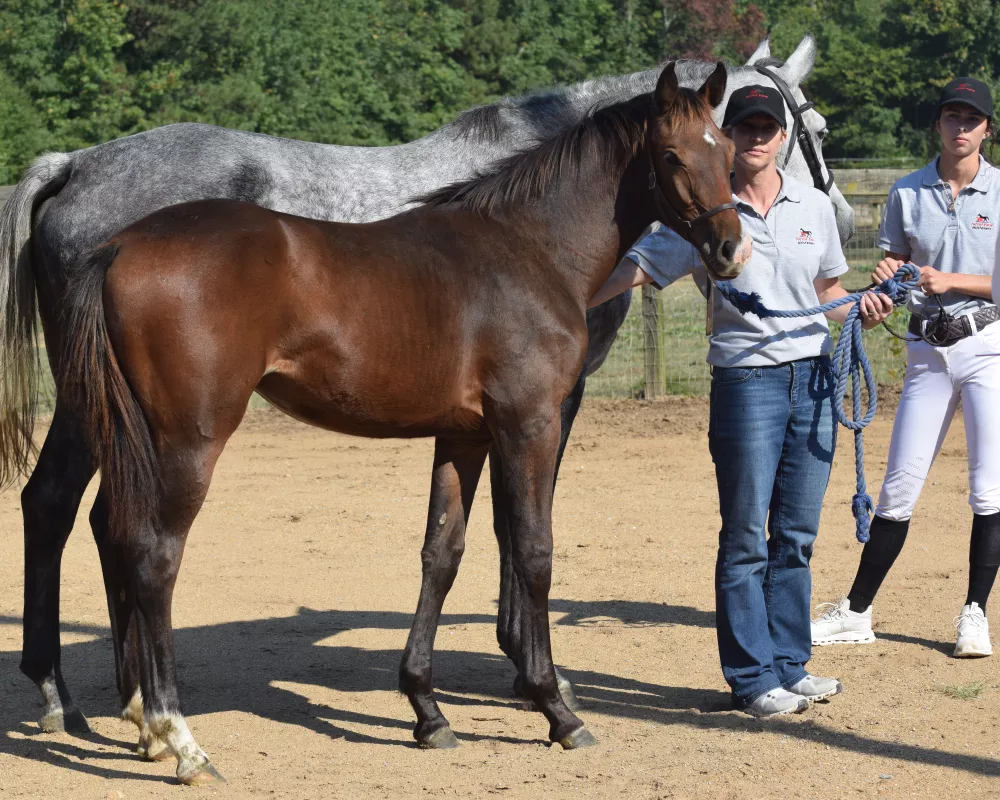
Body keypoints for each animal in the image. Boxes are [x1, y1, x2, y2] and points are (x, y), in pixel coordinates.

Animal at [3, 34, 856, 748]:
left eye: (731, 146)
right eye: (677, 156)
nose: (732, 246)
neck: (524, 242)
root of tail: (95, 203)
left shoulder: (467, 431)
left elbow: (442, 552)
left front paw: (430, 706)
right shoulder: (534, 418)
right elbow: (531, 545)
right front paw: (551, 699)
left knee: (95, 520)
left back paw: (118, 705)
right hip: (180, 432)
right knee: (131, 541)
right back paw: (154, 725)